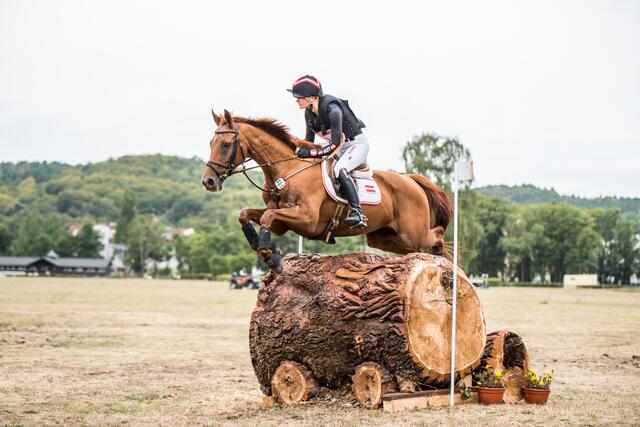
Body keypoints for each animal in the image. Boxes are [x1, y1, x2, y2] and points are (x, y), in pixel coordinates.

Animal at [201, 109, 452, 272]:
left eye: (226, 144)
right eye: (210, 143)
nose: (209, 182)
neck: (287, 170)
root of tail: (411, 180)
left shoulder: (307, 219)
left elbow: (267, 216)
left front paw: (269, 254)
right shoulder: (283, 223)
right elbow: (247, 214)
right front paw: (267, 250)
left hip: (412, 232)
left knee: (437, 234)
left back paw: (441, 259)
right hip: (386, 239)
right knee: (416, 248)